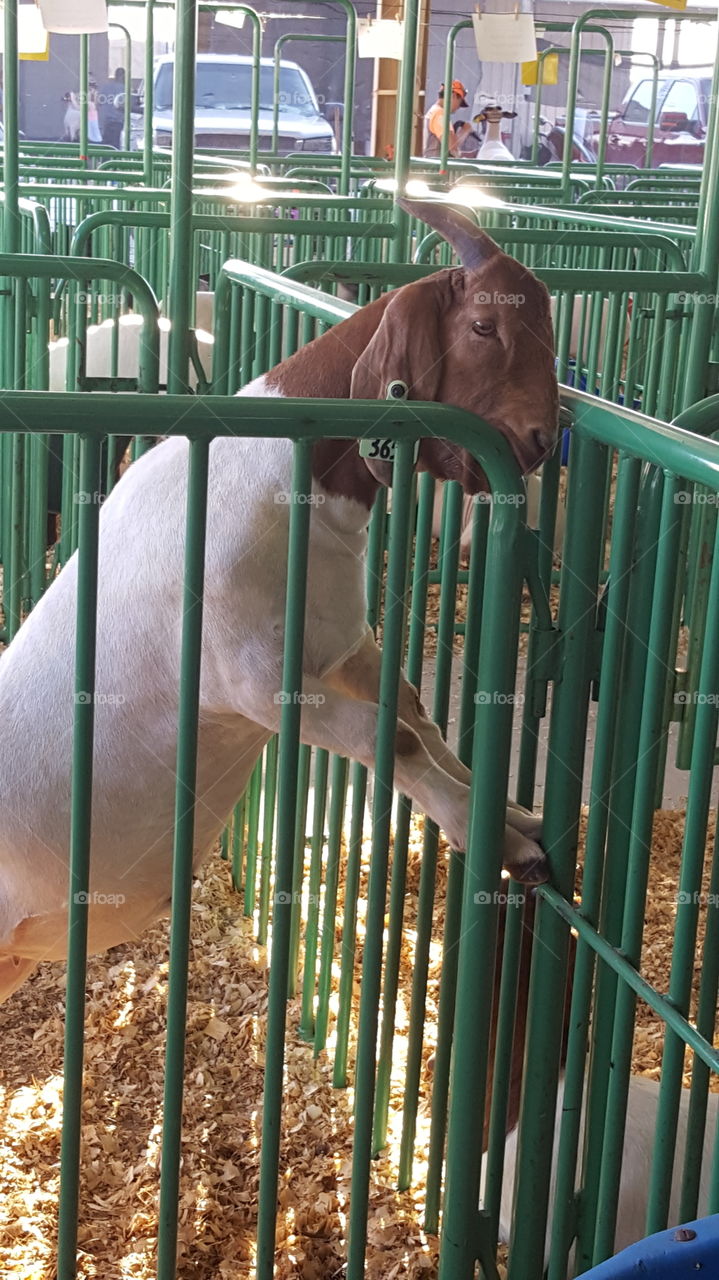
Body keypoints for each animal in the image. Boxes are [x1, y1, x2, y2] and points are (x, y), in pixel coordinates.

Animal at [0, 198, 559, 1003]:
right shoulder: (255, 682)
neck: (283, 480)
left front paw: (508, 811)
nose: (543, 439)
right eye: (485, 326)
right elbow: (391, 738)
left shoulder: (342, 644)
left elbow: (414, 712)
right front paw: (506, 843)